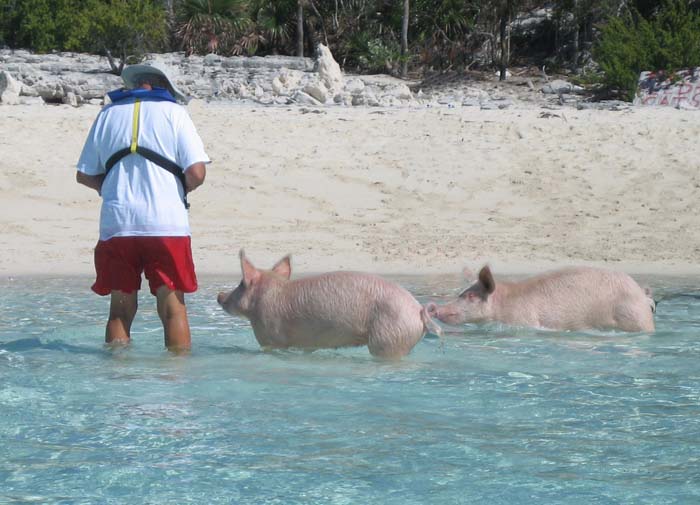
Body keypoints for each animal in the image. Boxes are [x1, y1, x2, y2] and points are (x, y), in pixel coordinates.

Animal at [426, 265, 655, 332]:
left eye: (471, 295)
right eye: (460, 293)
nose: (436, 309)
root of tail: (643, 295)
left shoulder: (523, 319)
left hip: (634, 317)